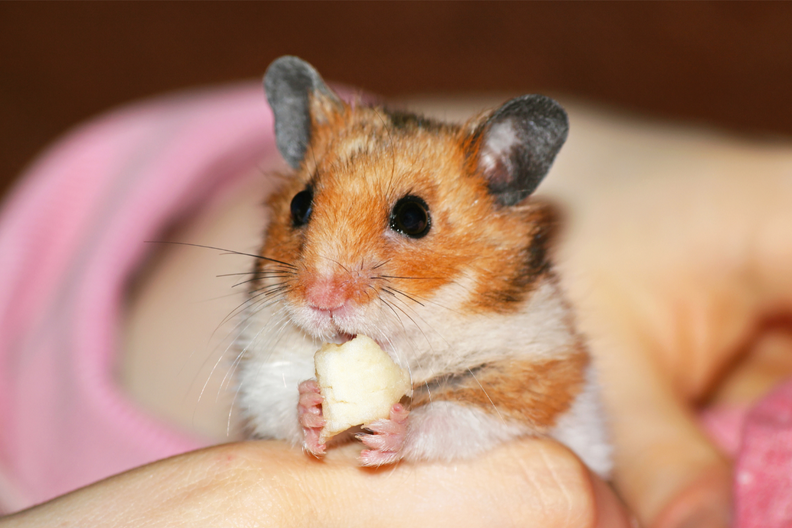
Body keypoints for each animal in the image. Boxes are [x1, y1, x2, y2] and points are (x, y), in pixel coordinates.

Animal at [235, 55, 612, 476]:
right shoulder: (261, 369)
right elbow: (274, 398)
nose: (322, 299)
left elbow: (454, 415)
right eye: (299, 205)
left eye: (413, 217)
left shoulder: (538, 378)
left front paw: (391, 433)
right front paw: (313, 404)